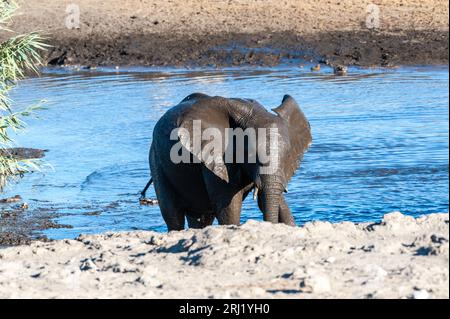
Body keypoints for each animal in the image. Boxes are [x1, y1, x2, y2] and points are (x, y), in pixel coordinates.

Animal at [142, 94, 312, 231]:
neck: (254, 113)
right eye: (250, 154)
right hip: (156, 160)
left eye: (288, 155)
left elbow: (272, 200)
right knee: (173, 215)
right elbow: (229, 205)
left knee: (201, 218)